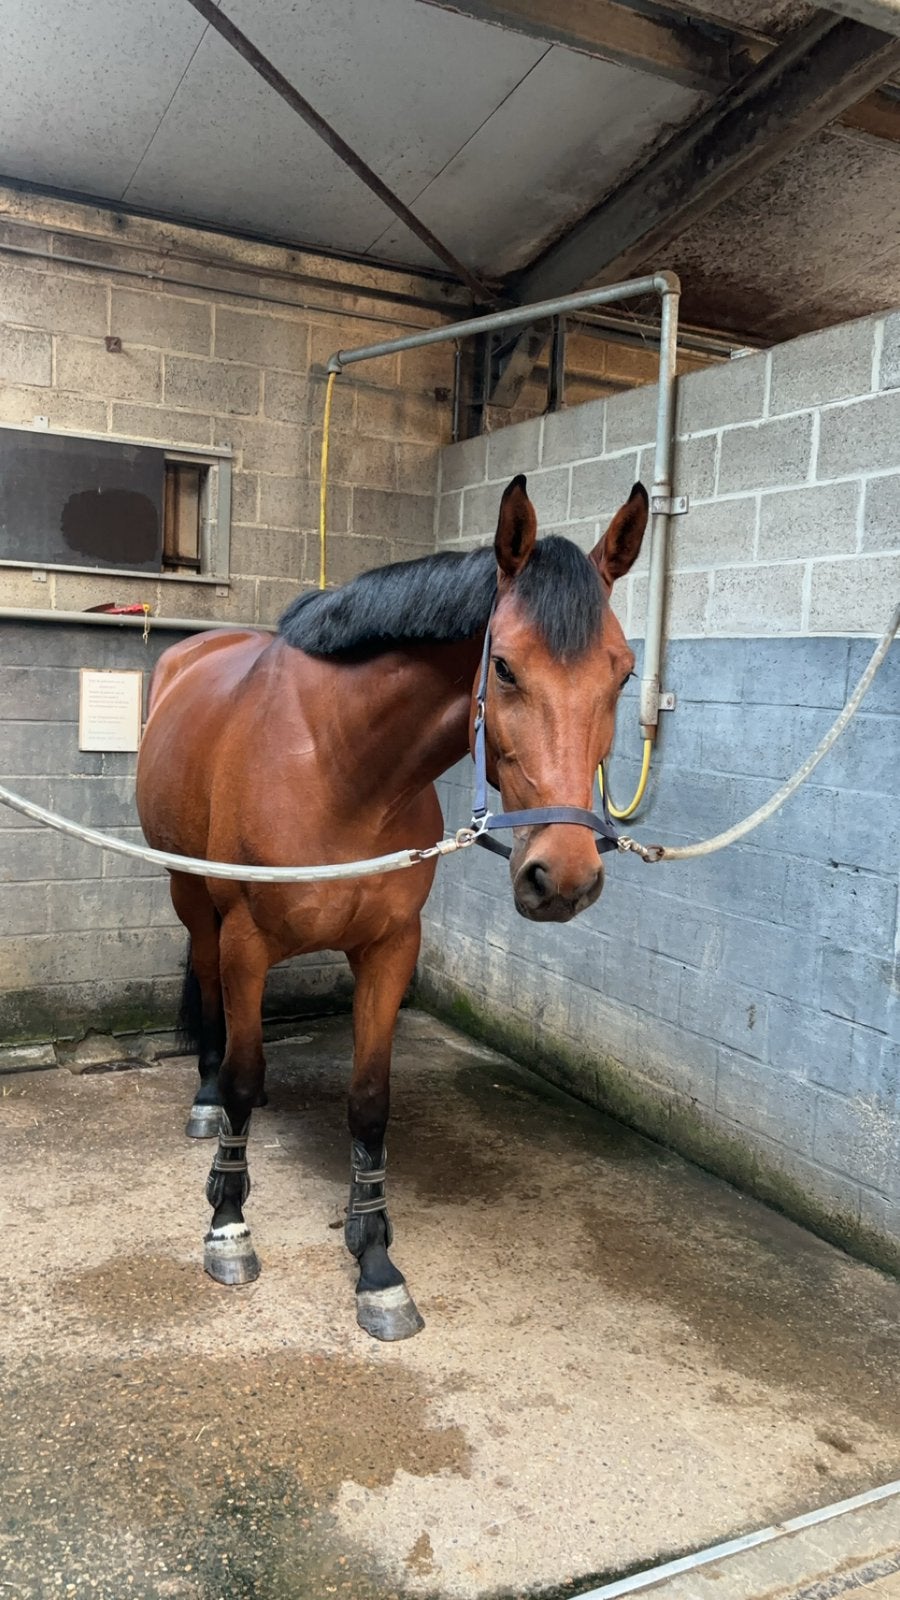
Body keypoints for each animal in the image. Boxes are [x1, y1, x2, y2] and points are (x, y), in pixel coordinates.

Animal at [135, 474, 648, 1340]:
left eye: (624, 674)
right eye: (504, 668)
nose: (564, 877)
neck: (338, 766)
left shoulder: (390, 948)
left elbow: (370, 1103)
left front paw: (375, 1263)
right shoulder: (247, 942)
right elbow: (241, 1072)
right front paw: (229, 1224)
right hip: (192, 895)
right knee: (206, 991)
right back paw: (206, 1104)